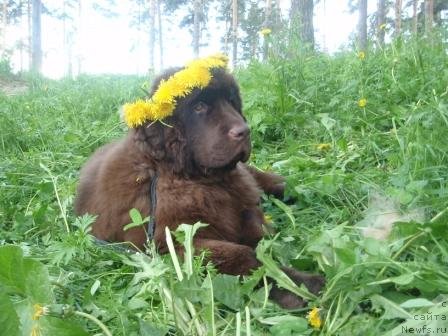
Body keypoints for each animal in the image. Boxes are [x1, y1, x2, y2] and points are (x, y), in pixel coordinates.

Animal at [75, 64, 324, 308]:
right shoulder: (170, 244)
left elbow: (255, 226)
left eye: (231, 101)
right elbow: (242, 255)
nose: (244, 131)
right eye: (199, 107)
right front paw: (300, 285)